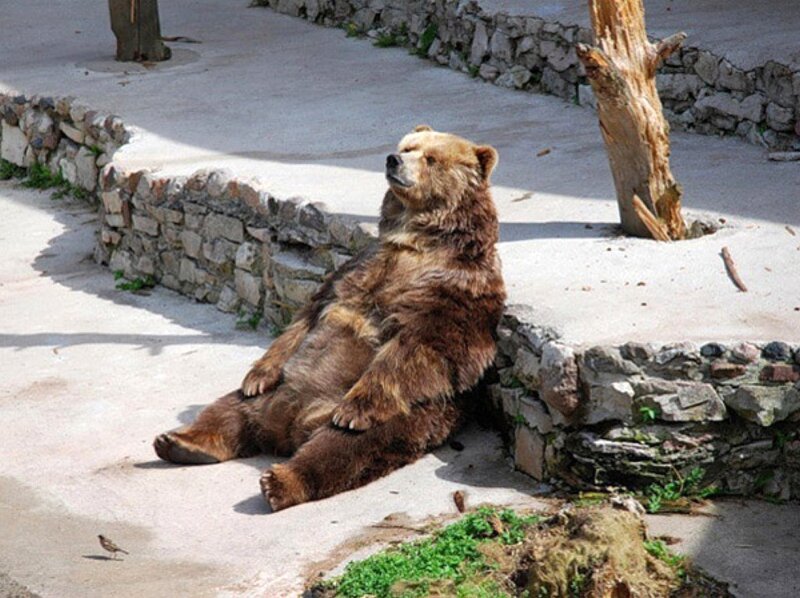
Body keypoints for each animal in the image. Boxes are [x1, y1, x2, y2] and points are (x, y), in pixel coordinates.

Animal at [153, 126, 506, 511]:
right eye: (408, 147)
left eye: (431, 158)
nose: (393, 160)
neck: (419, 240)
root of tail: (288, 428)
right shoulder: (359, 266)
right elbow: (308, 315)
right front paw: (257, 375)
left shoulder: (455, 290)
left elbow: (424, 346)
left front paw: (354, 409)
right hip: (276, 391)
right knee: (229, 408)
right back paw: (180, 441)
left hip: (402, 417)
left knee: (344, 448)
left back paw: (280, 480)